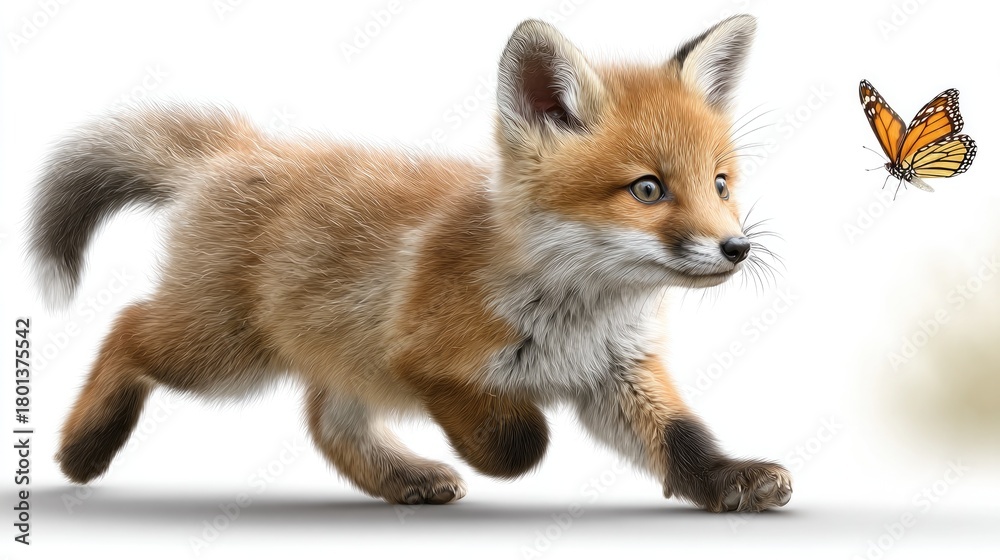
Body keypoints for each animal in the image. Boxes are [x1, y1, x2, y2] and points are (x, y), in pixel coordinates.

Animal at [27, 14, 791, 512]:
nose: (737, 248)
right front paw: (517, 442)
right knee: (127, 327)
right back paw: (82, 449)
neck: (576, 313)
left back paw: (402, 478)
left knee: (327, 424)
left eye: (721, 184)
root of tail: (243, 147)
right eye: (648, 189)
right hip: (221, 353)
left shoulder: (621, 372)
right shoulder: (419, 358)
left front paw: (729, 480)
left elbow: (684, 439)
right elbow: (518, 438)